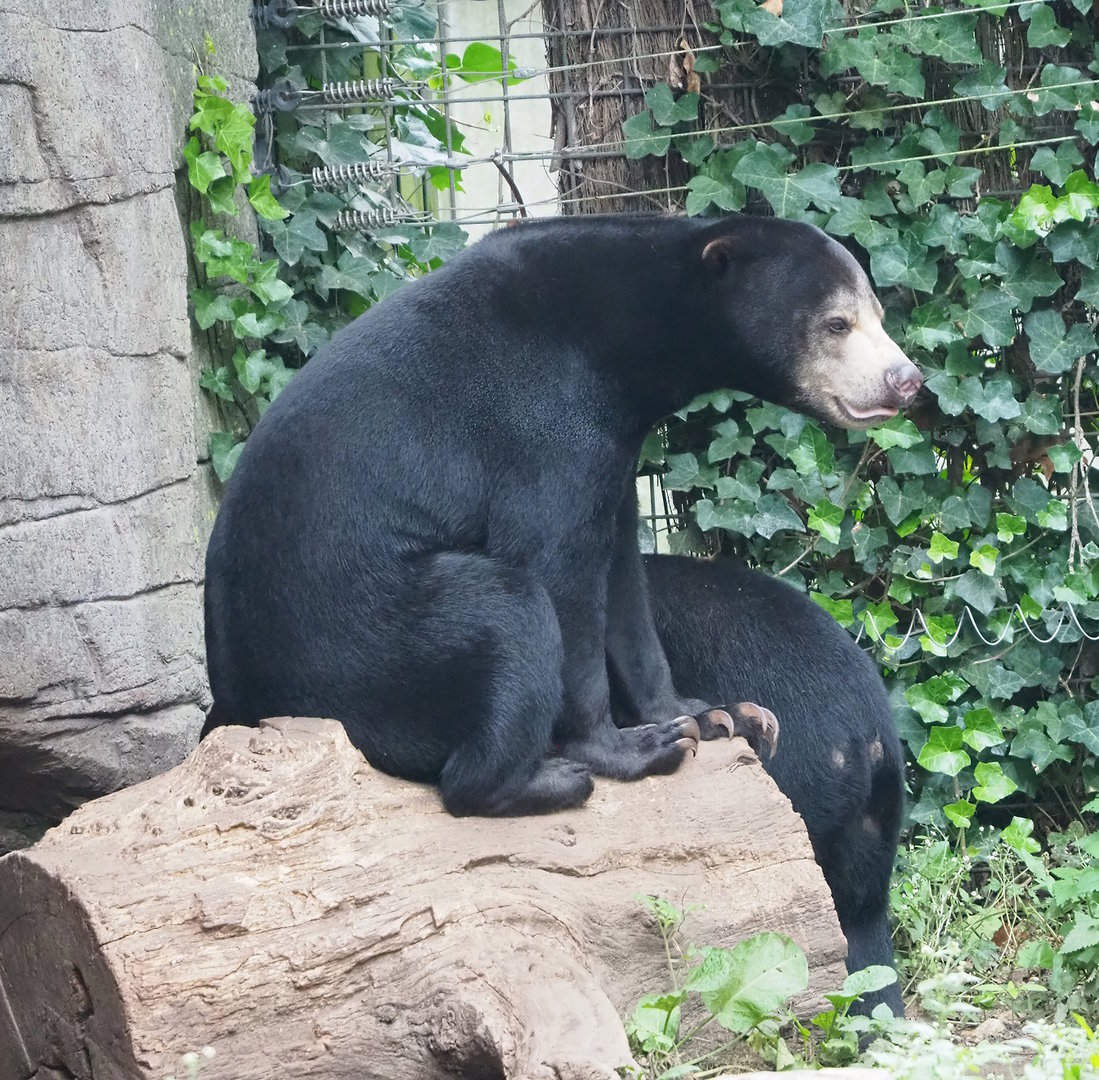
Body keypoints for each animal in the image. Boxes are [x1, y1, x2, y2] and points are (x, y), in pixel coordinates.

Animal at [203, 213, 922, 818]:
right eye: (837, 324)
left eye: (879, 314)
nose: (906, 381)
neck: (626, 343)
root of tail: (239, 702)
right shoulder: (544, 426)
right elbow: (558, 570)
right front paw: (636, 745)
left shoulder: (616, 452)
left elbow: (625, 583)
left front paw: (717, 714)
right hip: (367, 644)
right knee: (505, 610)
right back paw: (541, 781)